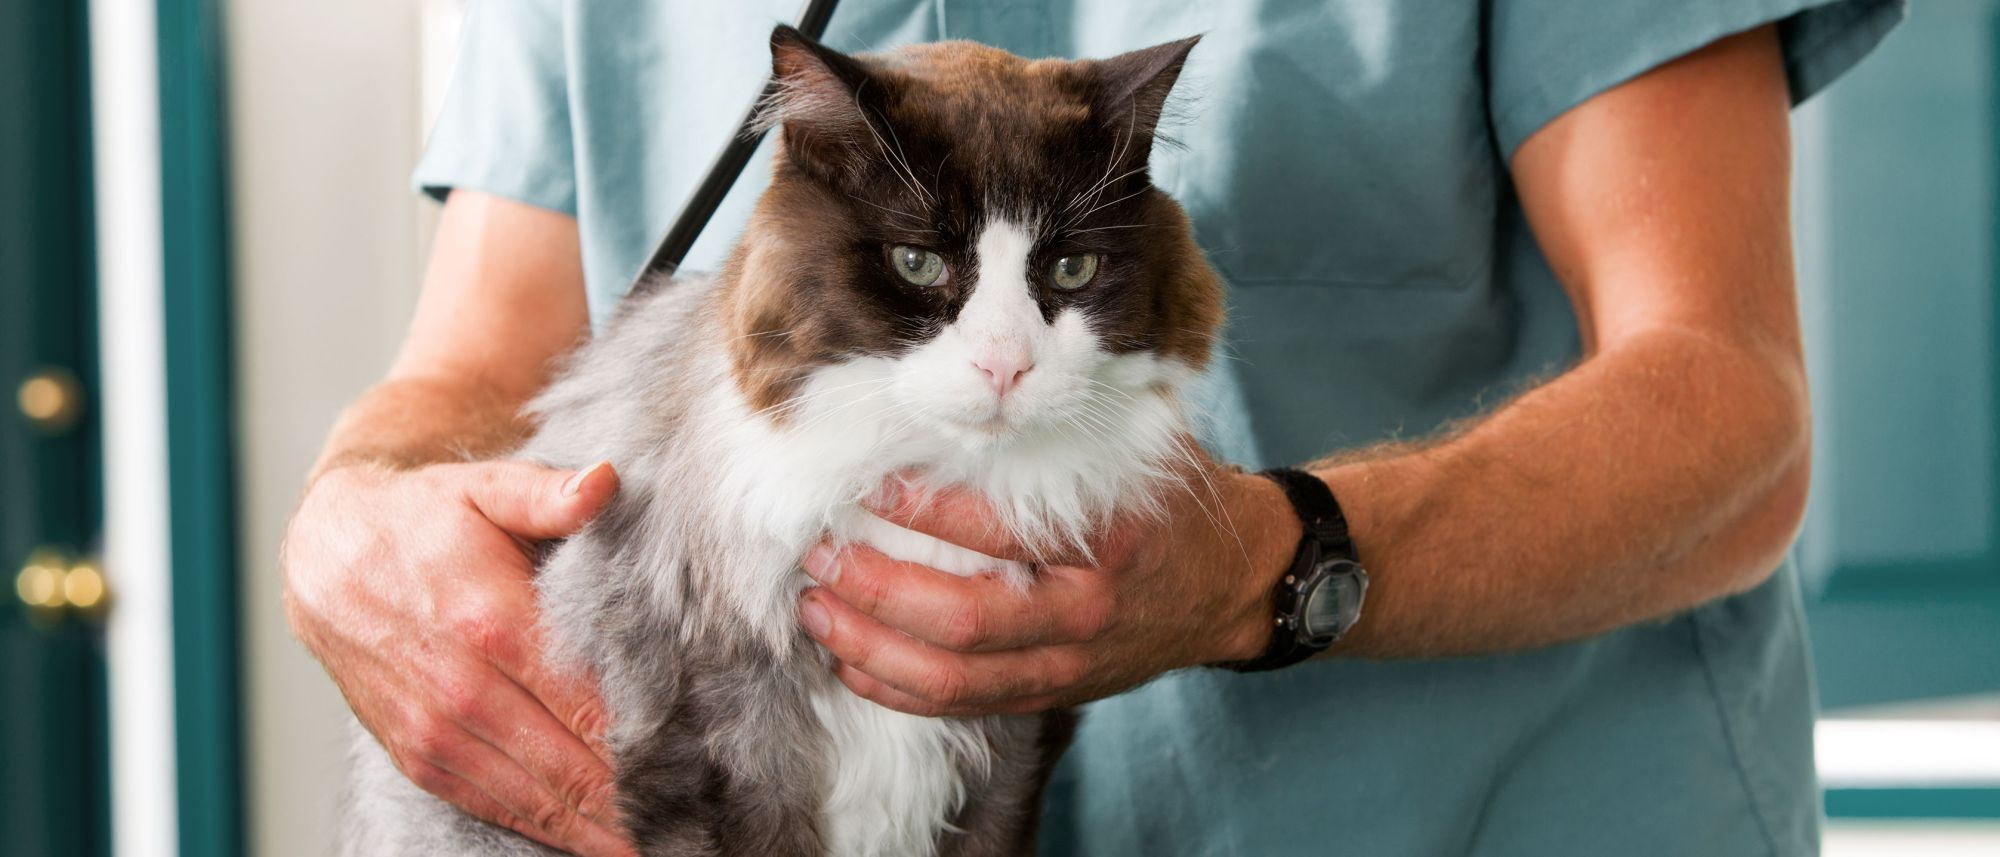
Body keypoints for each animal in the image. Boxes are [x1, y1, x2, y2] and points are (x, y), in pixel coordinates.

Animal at [340, 23, 1216, 852]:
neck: (931, 480)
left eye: (1071, 270)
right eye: (916, 262)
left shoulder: (1015, 747)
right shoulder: (711, 732)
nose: (1005, 365)